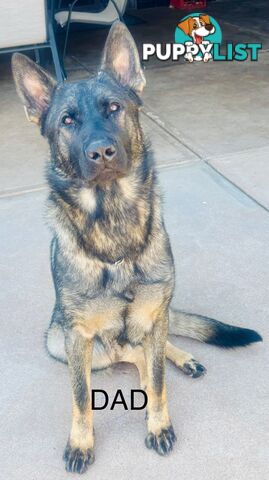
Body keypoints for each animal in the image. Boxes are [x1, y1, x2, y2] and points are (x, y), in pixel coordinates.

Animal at [11, 21, 260, 472]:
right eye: (67, 120)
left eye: (113, 108)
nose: (101, 152)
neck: (113, 221)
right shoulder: (76, 337)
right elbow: (80, 397)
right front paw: (81, 443)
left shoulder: (155, 311)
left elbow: (158, 382)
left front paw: (158, 423)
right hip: (62, 341)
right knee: (130, 356)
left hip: (150, 320)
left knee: (150, 354)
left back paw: (181, 358)